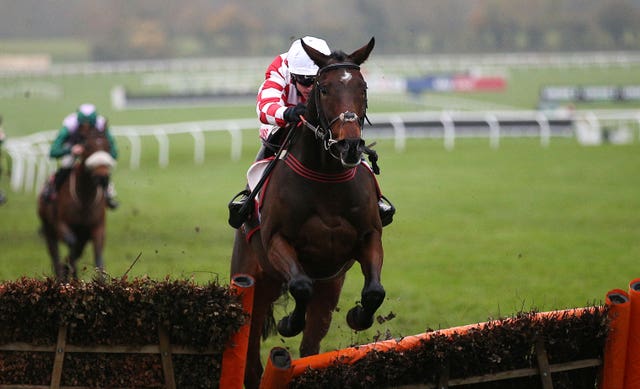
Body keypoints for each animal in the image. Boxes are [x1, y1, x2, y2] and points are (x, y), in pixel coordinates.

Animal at [37, 124, 116, 278]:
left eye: (108, 146)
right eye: (88, 146)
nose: (102, 178)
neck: (85, 199)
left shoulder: (98, 227)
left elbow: (98, 257)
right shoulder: (61, 224)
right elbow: (72, 246)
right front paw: (71, 275)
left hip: (83, 235)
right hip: (48, 228)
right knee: (55, 254)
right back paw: (61, 276)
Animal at [231, 37, 384, 388]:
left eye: (363, 87)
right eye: (323, 88)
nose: (350, 146)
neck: (326, 178)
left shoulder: (368, 238)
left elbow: (374, 291)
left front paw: (358, 315)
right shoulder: (277, 241)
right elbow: (300, 285)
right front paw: (288, 322)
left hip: (327, 290)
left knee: (310, 345)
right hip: (253, 283)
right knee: (250, 355)